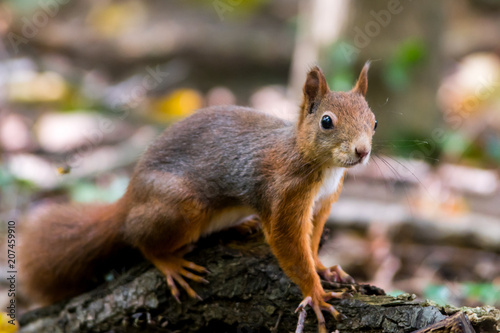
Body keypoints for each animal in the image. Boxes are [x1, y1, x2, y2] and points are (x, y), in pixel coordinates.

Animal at [21, 61, 376, 330]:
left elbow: (312, 242)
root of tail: (130, 197)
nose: (362, 151)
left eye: (373, 121)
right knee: (138, 237)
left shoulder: (322, 203)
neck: (320, 165)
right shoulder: (284, 196)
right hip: (181, 207)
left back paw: (240, 226)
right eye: (327, 121)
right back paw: (170, 263)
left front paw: (324, 268)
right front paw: (315, 293)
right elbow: (289, 245)